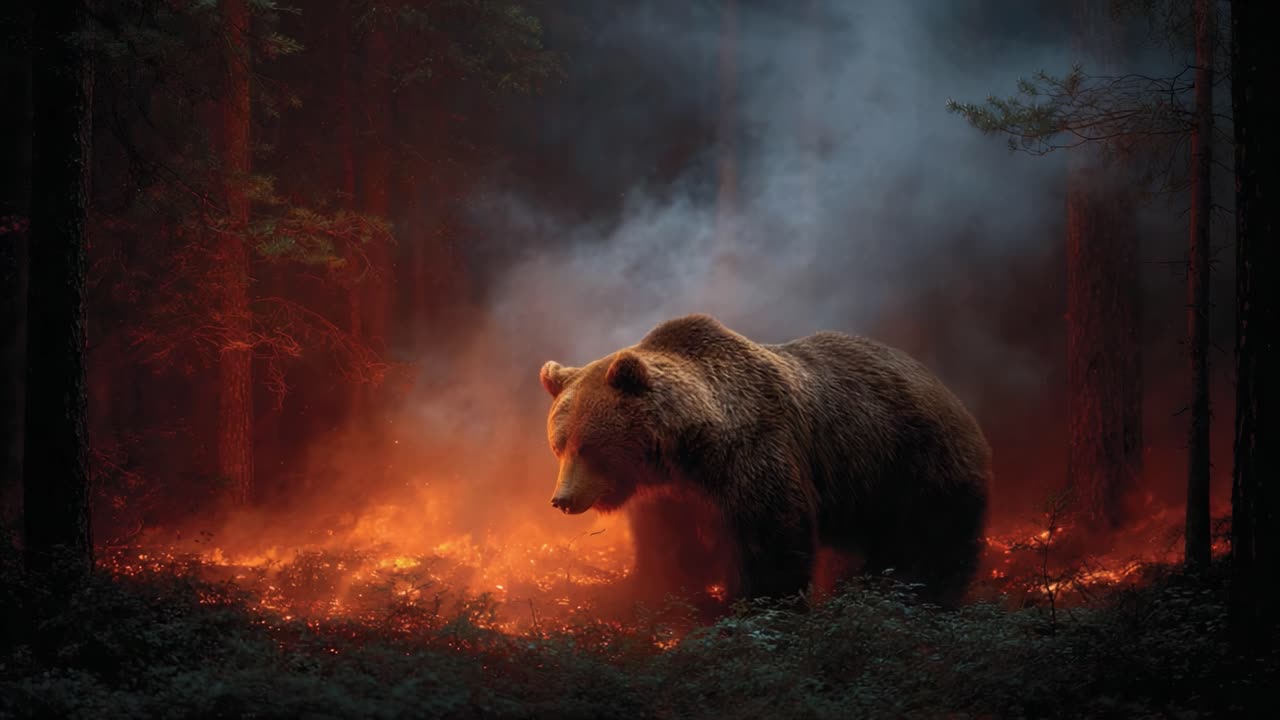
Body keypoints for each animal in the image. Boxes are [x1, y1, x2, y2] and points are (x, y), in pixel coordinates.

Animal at [538, 314, 991, 607]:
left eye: (587, 446)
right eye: (559, 445)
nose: (562, 499)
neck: (687, 452)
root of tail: (946, 389)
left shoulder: (754, 457)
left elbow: (771, 544)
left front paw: (752, 608)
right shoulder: (672, 498)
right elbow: (671, 551)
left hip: (913, 464)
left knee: (932, 542)